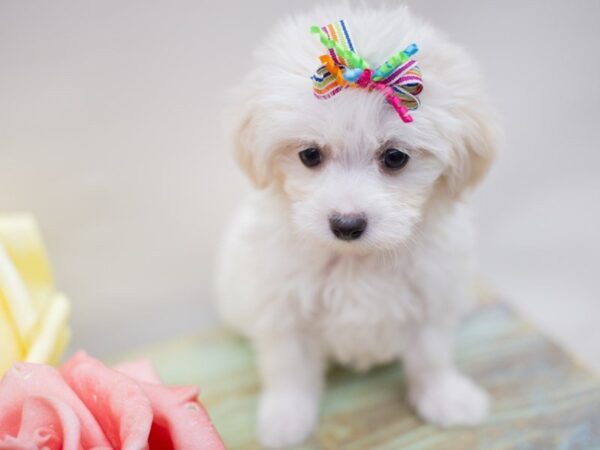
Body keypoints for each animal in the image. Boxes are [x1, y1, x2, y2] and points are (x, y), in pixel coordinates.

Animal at [216, 4, 496, 450]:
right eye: (309, 155)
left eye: (395, 157)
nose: (346, 224)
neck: (356, 261)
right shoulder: (284, 305)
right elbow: (290, 366)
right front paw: (286, 418)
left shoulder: (430, 294)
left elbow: (431, 356)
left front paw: (445, 398)